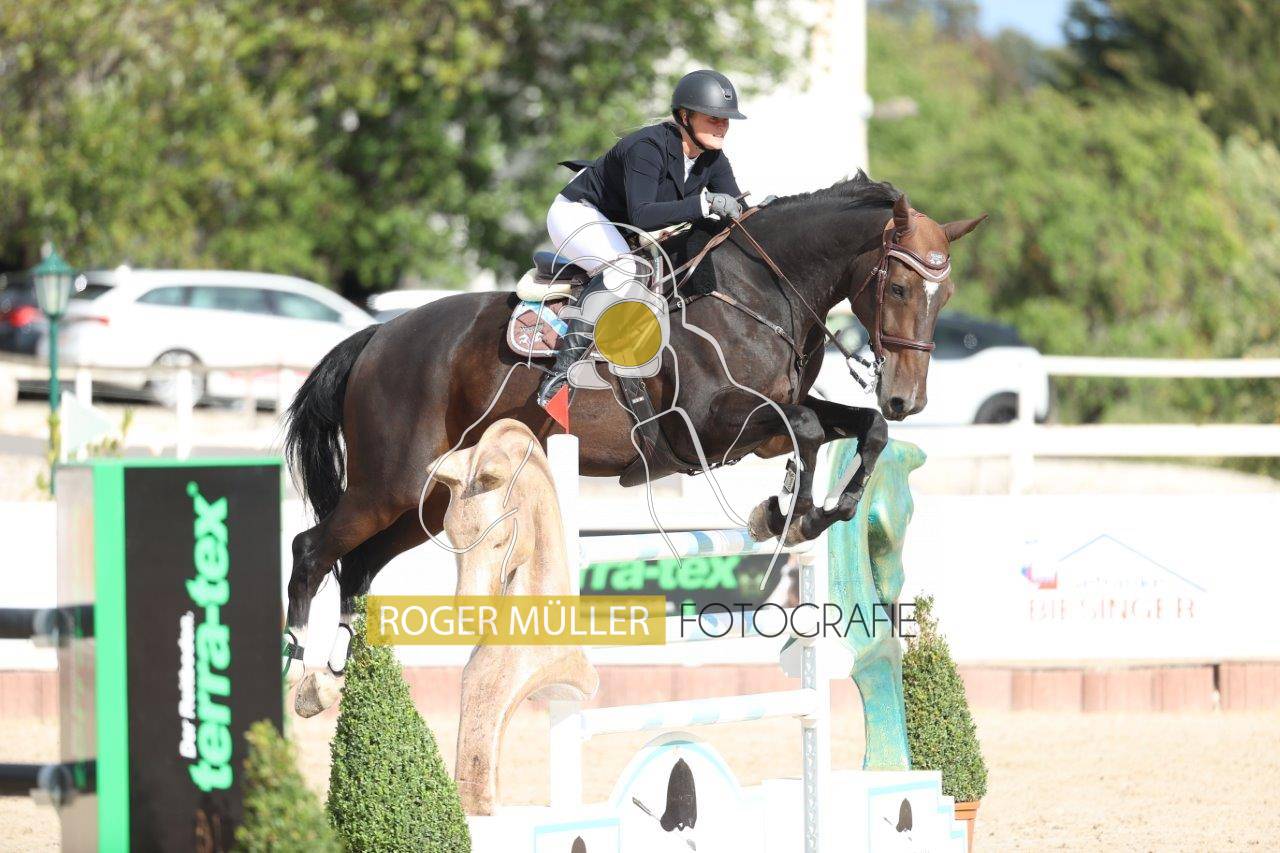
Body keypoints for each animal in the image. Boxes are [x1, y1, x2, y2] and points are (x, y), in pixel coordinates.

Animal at [280, 171, 985, 714]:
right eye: (899, 287)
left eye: (946, 292)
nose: (908, 398)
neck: (760, 294)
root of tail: (378, 336)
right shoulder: (708, 425)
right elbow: (809, 432)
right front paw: (795, 512)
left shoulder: (770, 419)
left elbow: (864, 429)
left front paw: (811, 507)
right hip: (389, 483)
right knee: (312, 549)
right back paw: (300, 670)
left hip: (421, 502)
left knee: (359, 565)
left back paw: (338, 675)